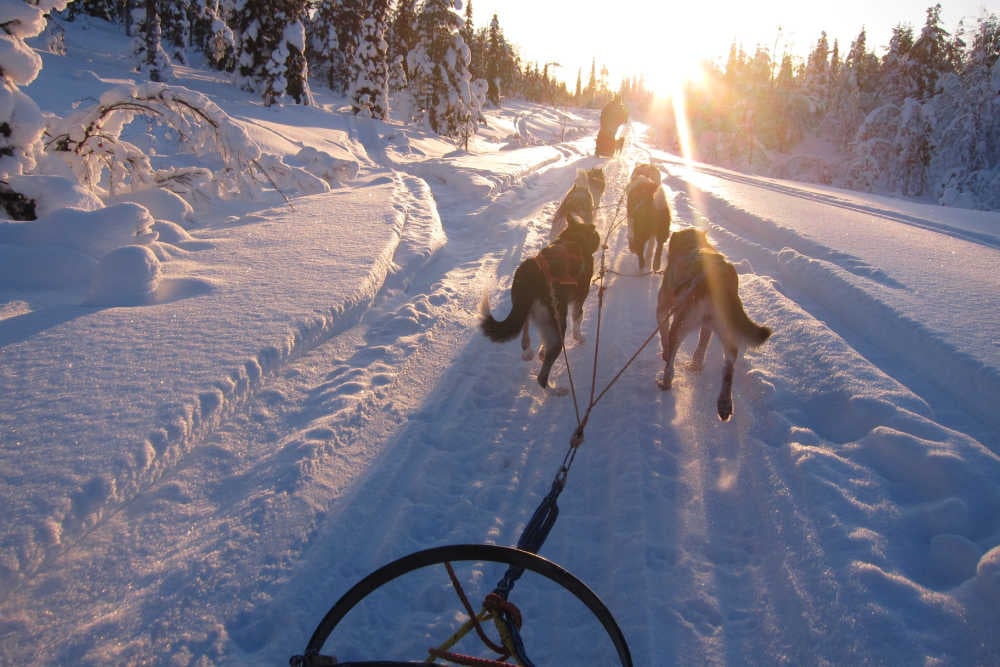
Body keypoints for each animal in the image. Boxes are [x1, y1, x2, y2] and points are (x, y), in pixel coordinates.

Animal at [478, 215, 596, 392]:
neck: (575, 237)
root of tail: (532, 274)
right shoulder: (579, 299)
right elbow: (578, 320)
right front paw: (579, 337)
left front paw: (539, 351)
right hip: (558, 325)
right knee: (542, 377)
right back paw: (556, 390)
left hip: (526, 307)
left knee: (525, 332)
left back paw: (529, 352)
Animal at [656, 227, 772, 420]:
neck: (691, 244)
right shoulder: (708, 325)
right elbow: (702, 344)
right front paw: (696, 365)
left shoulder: (663, 309)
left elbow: (663, 336)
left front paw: (665, 353)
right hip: (724, 327)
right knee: (729, 361)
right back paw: (724, 402)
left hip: (681, 324)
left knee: (672, 358)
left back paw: (666, 381)